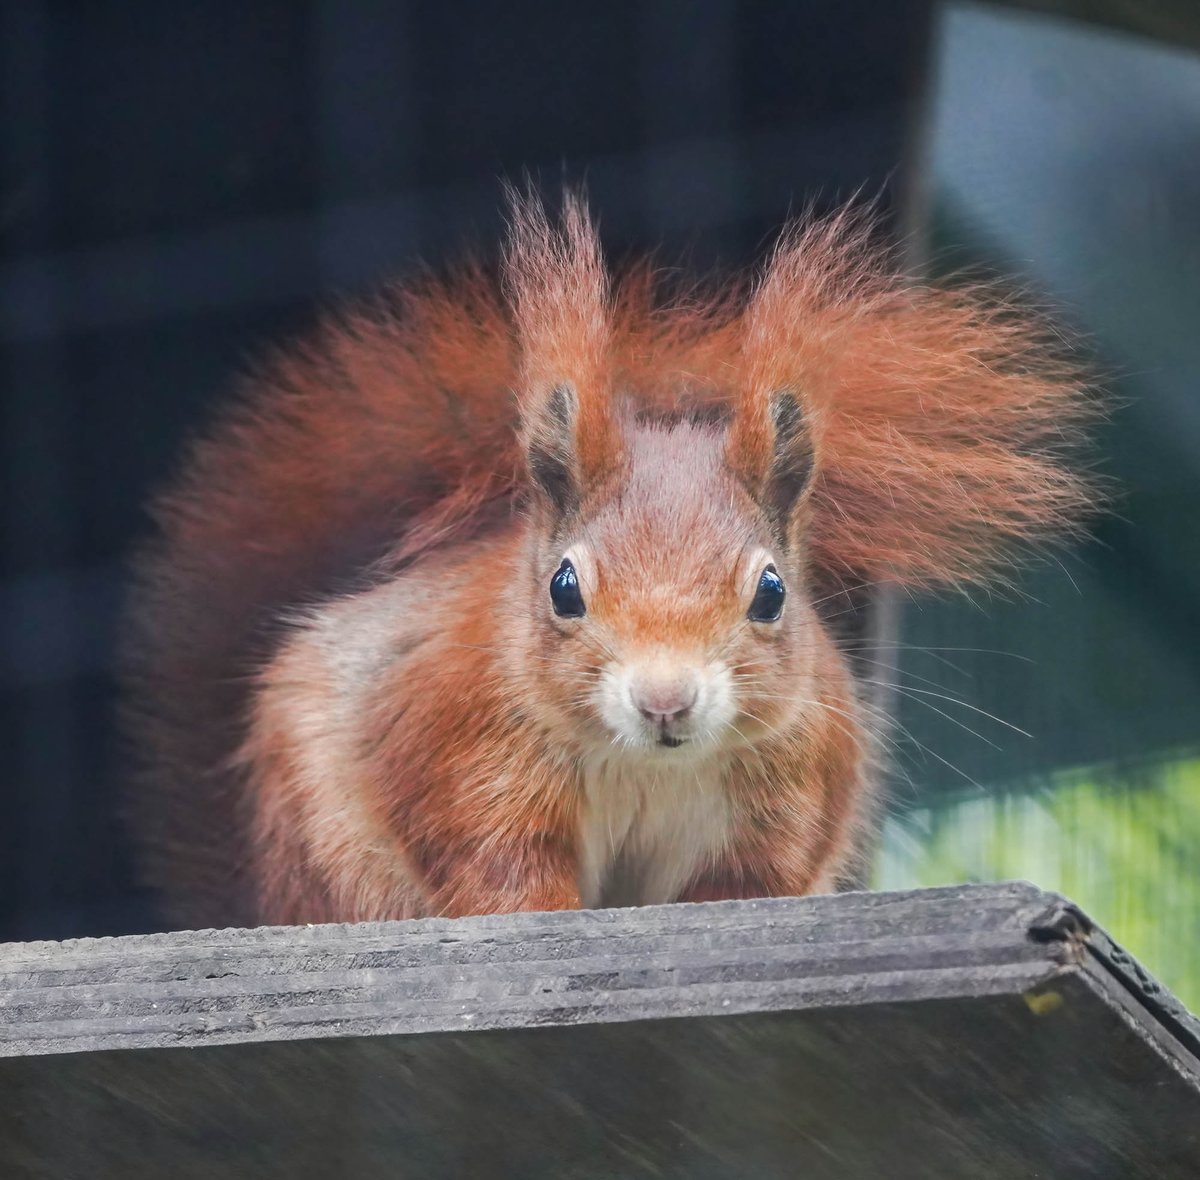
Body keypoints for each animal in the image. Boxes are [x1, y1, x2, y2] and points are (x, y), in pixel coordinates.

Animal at [124, 193, 1099, 931]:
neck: (647, 764)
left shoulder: (791, 795)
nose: (665, 701)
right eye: (564, 588)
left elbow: (747, 884)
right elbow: (500, 866)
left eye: (772, 593)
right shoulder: (462, 750)